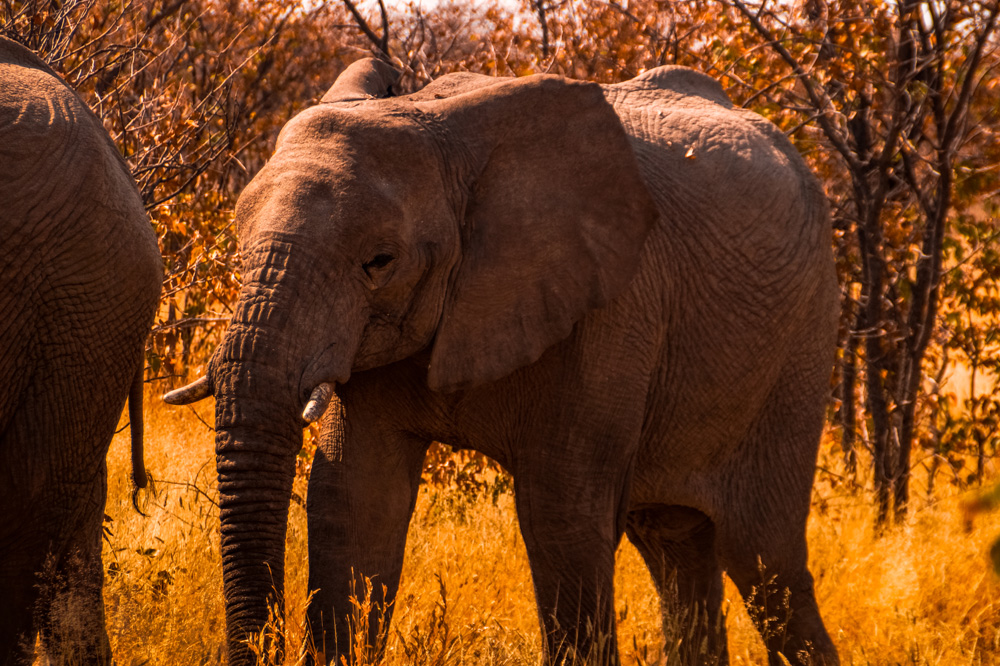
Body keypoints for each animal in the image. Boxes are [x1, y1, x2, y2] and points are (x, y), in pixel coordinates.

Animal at [168, 58, 840, 664]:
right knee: (675, 547)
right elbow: (352, 502)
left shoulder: (611, 307)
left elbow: (561, 517)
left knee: (766, 562)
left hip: (800, 350)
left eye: (380, 261)